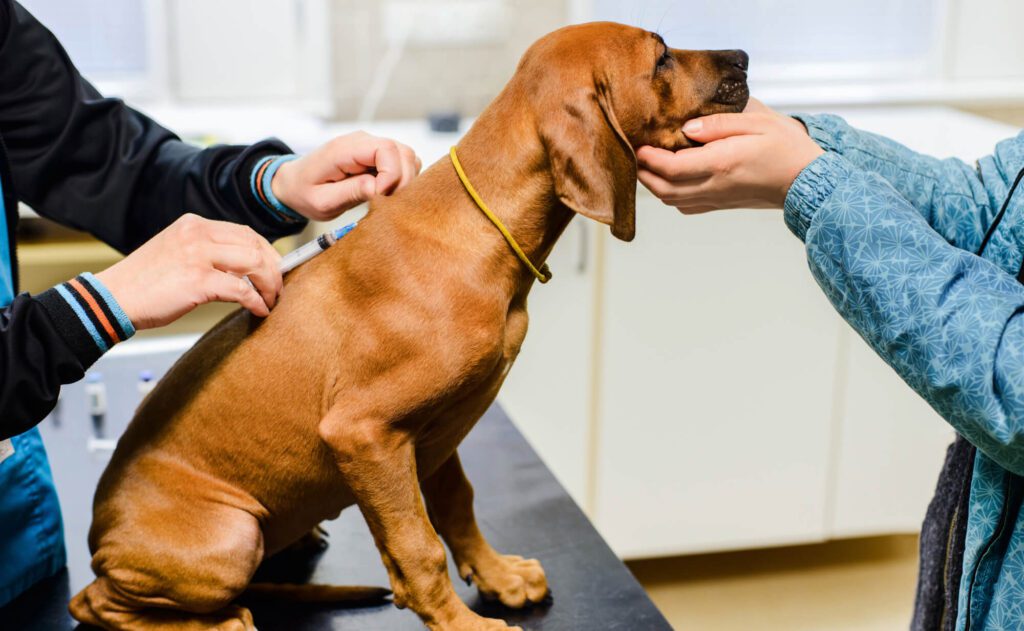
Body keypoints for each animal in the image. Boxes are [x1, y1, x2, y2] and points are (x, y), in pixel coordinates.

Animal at [68, 22, 749, 631]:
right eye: (661, 56)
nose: (743, 56)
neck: (481, 230)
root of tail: (100, 538)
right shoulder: (364, 435)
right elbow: (417, 549)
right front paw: (464, 625)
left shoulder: (435, 432)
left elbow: (457, 508)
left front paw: (498, 577)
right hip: (230, 534)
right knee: (95, 604)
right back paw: (219, 621)